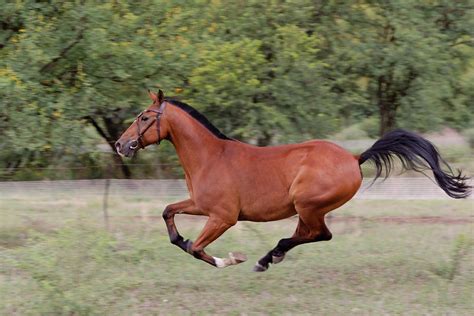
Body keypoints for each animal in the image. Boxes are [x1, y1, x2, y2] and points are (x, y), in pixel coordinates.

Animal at [115, 89, 470, 272]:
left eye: (144, 117)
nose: (121, 144)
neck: (211, 157)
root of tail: (355, 158)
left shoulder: (223, 217)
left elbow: (196, 248)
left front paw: (230, 259)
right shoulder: (200, 205)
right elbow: (169, 215)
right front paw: (189, 242)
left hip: (308, 205)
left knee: (320, 235)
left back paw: (267, 257)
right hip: (306, 209)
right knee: (308, 234)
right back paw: (270, 256)